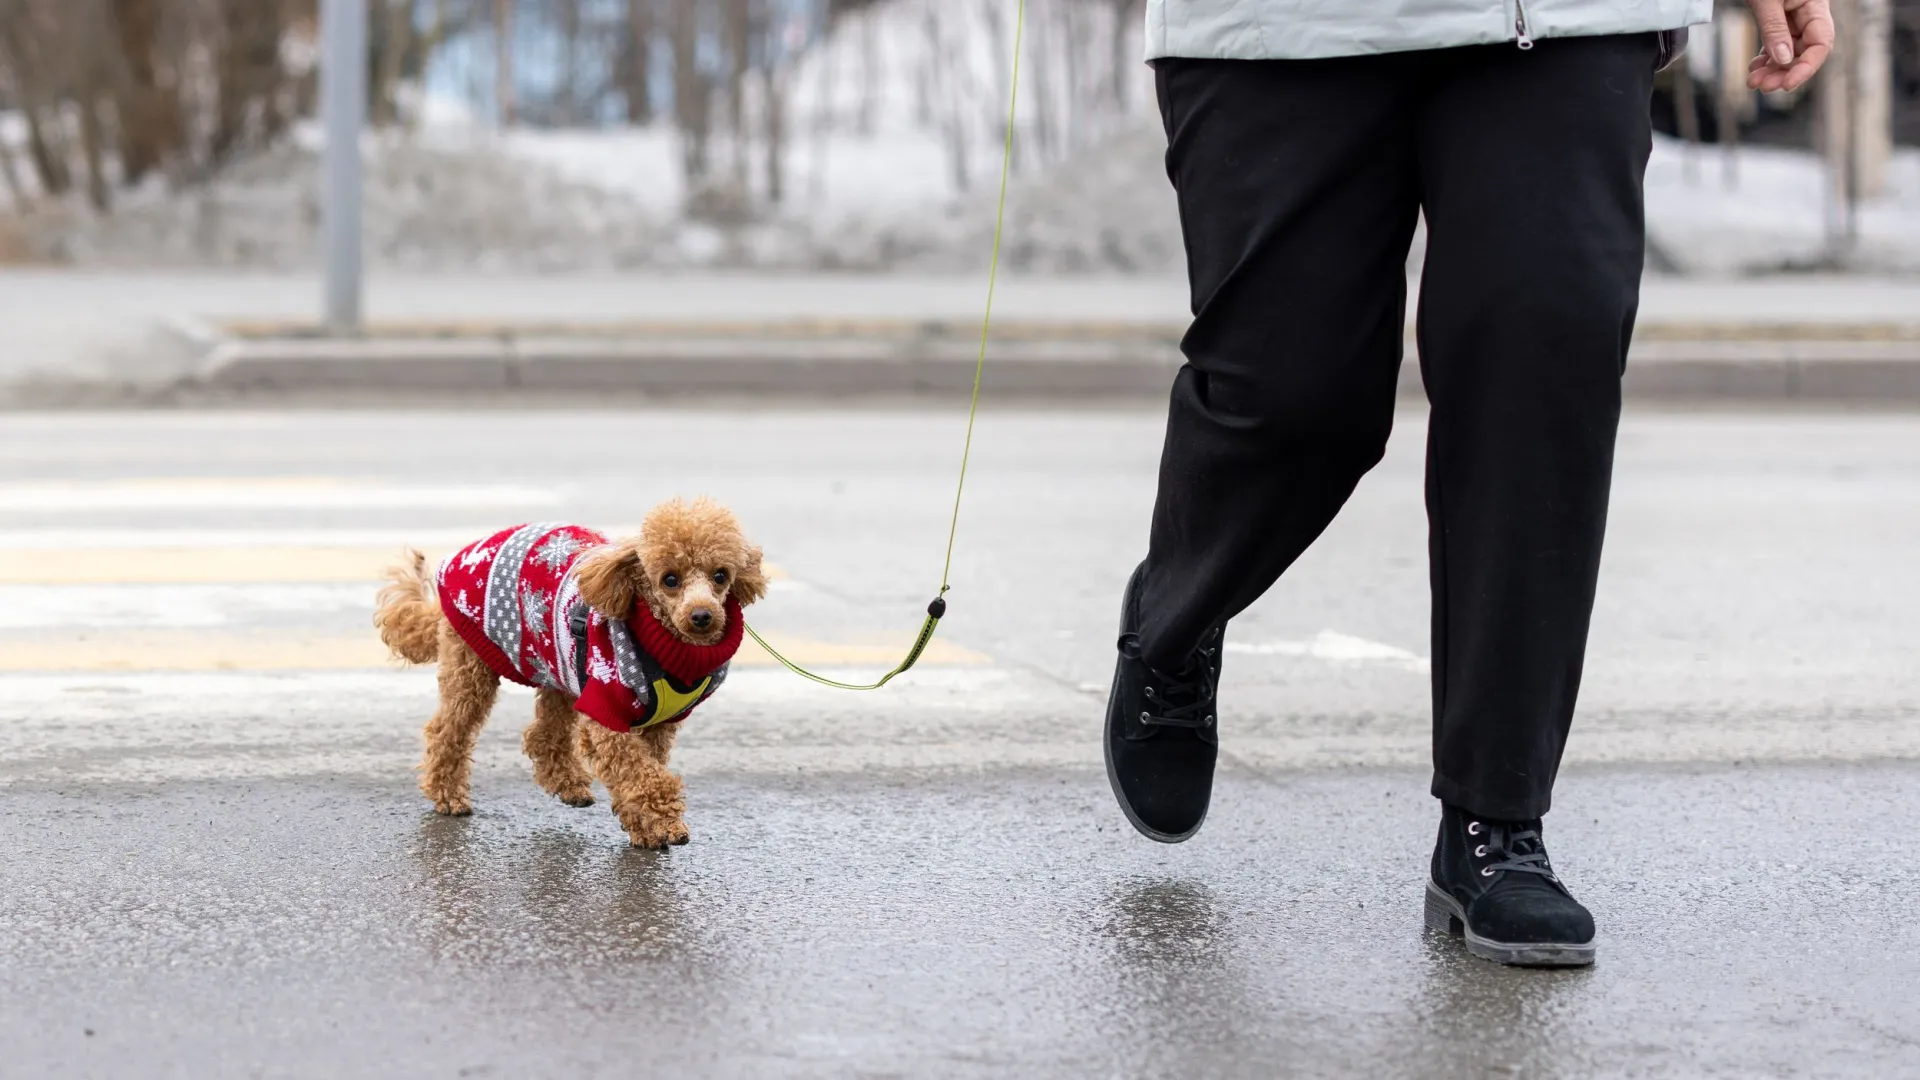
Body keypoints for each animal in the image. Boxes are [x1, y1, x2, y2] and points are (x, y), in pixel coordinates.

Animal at [374, 499, 764, 849]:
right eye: (670, 580)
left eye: (720, 575)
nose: (702, 616)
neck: (660, 641)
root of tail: (460, 558)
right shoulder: (606, 714)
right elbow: (642, 774)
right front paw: (666, 823)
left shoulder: (658, 723)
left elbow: (638, 773)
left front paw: (641, 827)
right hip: (471, 664)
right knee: (447, 731)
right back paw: (447, 795)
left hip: (557, 666)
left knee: (542, 734)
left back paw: (568, 785)